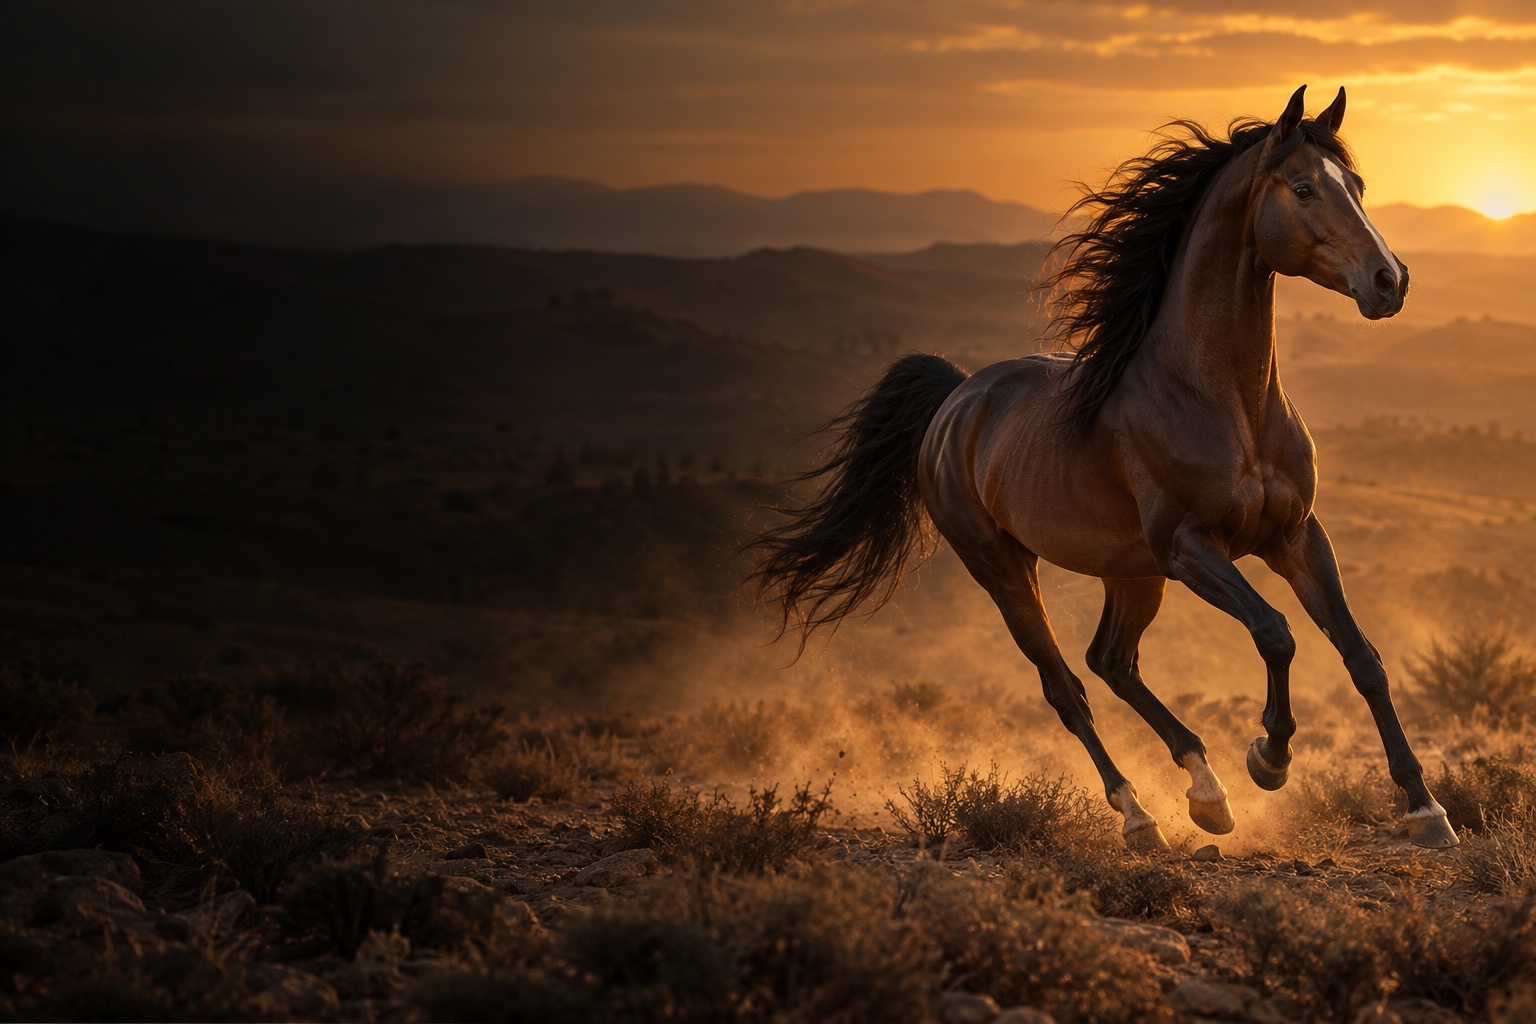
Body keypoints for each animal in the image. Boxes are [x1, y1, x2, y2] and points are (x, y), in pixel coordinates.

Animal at [750, 85, 1459, 851]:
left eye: (1355, 185)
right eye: (1302, 188)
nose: (1390, 281)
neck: (1221, 399)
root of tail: (957, 397)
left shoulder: (1295, 536)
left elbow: (1363, 658)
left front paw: (1425, 807)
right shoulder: (1191, 548)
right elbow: (1276, 633)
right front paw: (1269, 758)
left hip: (1131, 572)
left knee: (1111, 660)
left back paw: (1205, 793)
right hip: (1006, 569)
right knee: (1067, 688)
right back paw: (1141, 815)